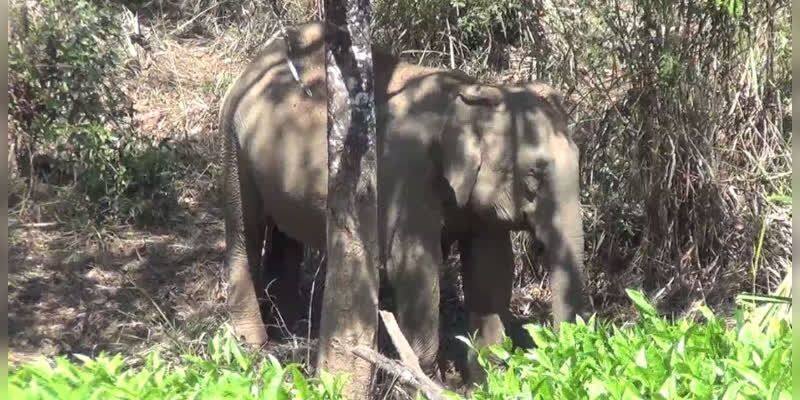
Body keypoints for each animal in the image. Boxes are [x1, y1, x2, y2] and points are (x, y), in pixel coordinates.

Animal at [216, 21, 584, 382]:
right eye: (535, 172)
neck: (473, 92)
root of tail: (256, 60)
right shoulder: (408, 175)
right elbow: (415, 267)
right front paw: (421, 379)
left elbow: (491, 270)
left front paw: (487, 382)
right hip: (233, 142)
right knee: (245, 232)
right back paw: (253, 346)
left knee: (285, 235)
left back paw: (290, 329)